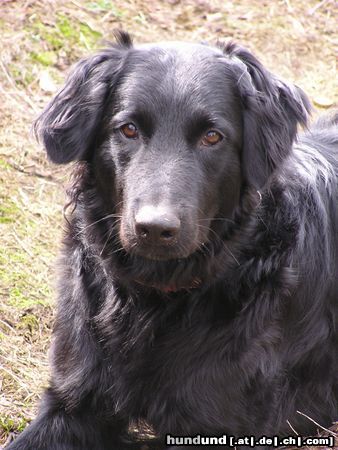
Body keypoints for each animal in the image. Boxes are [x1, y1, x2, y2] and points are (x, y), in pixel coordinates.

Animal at [7, 32, 338, 450]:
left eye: (212, 137)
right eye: (128, 129)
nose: (154, 228)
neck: (151, 300)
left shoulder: (218, 424)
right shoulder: (73, 399)